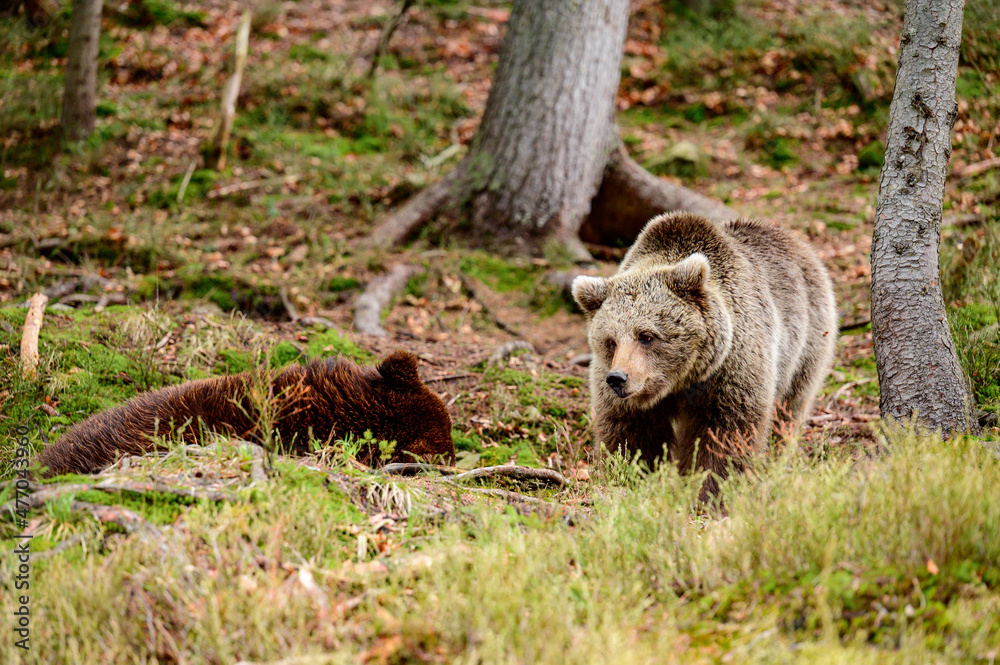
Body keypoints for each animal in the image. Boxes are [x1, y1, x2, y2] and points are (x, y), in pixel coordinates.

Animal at [572, 212, 837, 499]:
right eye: (611, 341)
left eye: (646, 335)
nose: (618, 378)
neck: (680, 379)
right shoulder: (625, 398)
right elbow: (631, 439)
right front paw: (632, 482)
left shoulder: (728, 371)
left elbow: (722, 436)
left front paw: (710, 492)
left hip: (806, 342)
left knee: (789, 411)